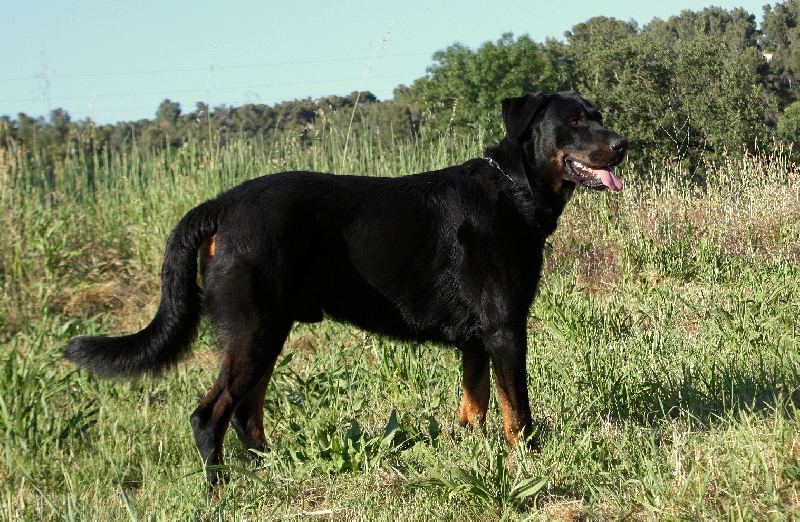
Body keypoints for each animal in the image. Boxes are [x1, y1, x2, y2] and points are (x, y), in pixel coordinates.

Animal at [65, 90, 628, 484]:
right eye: (573, 122)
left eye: (598, 114)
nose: (623, 144)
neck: (514, 190)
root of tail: (220, 206)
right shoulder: (505, 329)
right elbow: (519, 414)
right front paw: (532, 464)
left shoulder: (475, 340)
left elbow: (476, 408)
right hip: (254, 331)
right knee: (210, 417)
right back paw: (220, 493)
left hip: (268, 331)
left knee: (247, 411)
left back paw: (270, 472)